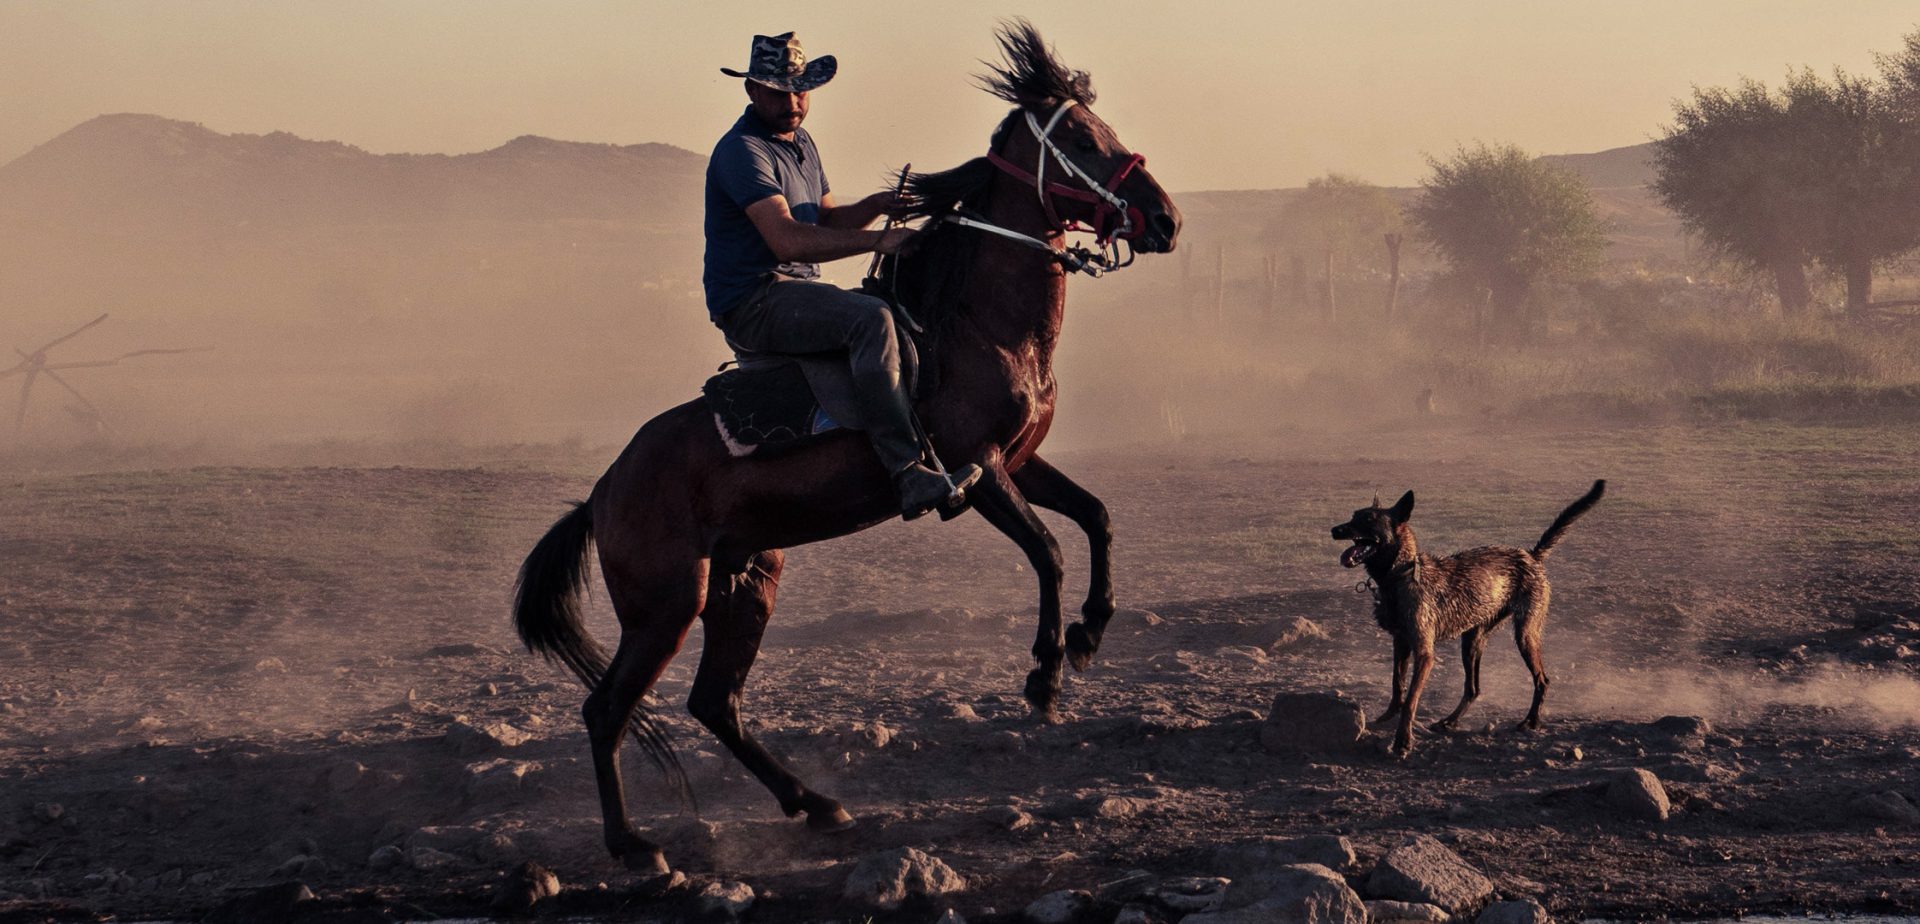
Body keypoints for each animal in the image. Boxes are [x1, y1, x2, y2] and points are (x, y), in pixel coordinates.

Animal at [510, 21, 1175, 872]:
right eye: (1084, 140)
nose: (1165, 219)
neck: (976, 326)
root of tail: (601, 493)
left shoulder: (1023, 461)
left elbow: (1097, 518)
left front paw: (1090, 634)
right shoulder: (980, 471)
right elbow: (1050, 552)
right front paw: (1044, 678)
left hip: (747, 580)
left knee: (714, 701)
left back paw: (816, 804)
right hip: (667, 603)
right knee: (608, 708)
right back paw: (634, 846)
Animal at [1320, 478, 1605, 753]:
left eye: (1368, 519)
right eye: (1354, 515)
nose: (1335, 530)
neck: (1401, 575)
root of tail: (1531, 555)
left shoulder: (1424, 654)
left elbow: (1411, 699)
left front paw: (1403, 741)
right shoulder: (1400, 644)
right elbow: (1397, 687)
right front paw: (1386, 719)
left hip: (1525, 634)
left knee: (1542, 679)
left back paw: (1531, 721)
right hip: (1472, 641)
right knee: (1473, 688)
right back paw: (1450, 721)